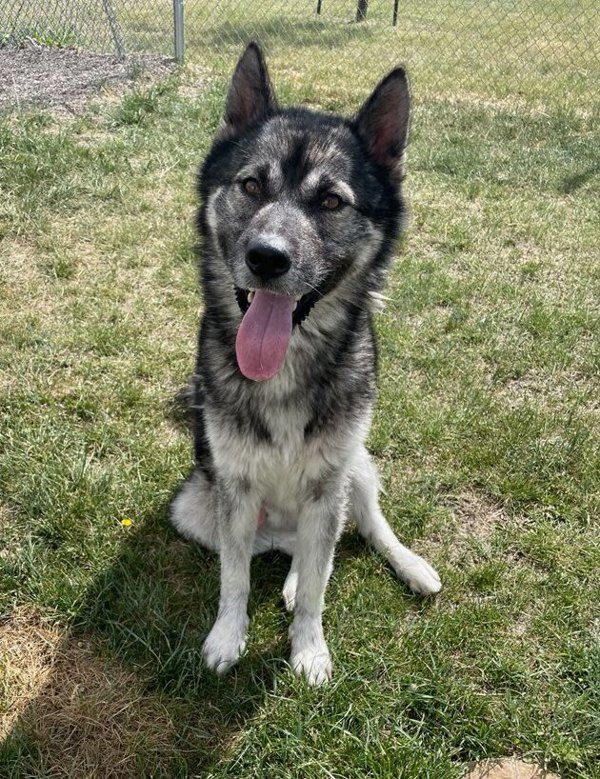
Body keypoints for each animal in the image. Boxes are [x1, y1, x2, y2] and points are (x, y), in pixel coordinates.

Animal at [171, 42, 442, 684]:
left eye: (330, 201)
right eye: (250, 185)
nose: (266, 258)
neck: (285, 365)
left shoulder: (329, 482)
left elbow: (322, 582)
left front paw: (309, 648)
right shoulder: (234, 489)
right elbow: (236, 579)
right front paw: (228, 636)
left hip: (356, 468)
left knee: (354, 533)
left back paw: (410, 565)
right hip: (194, 505)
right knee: (286, 549)